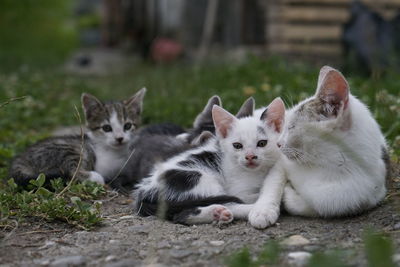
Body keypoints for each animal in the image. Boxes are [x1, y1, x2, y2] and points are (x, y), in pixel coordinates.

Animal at [9, 89, 146, 187]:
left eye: (127, 126)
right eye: (106, 128)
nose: (119, 138)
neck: (116, 152)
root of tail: (19, 161)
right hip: (71, 148)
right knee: (71, 172)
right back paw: (95, 178)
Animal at [136, 97, 286, 227]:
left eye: (262, 143)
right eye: (237, 146)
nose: (250, 156)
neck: (258, 171)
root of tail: (144, 191)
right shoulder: (237, 190)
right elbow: (247, 195)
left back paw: (218, 213)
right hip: (199, 178)